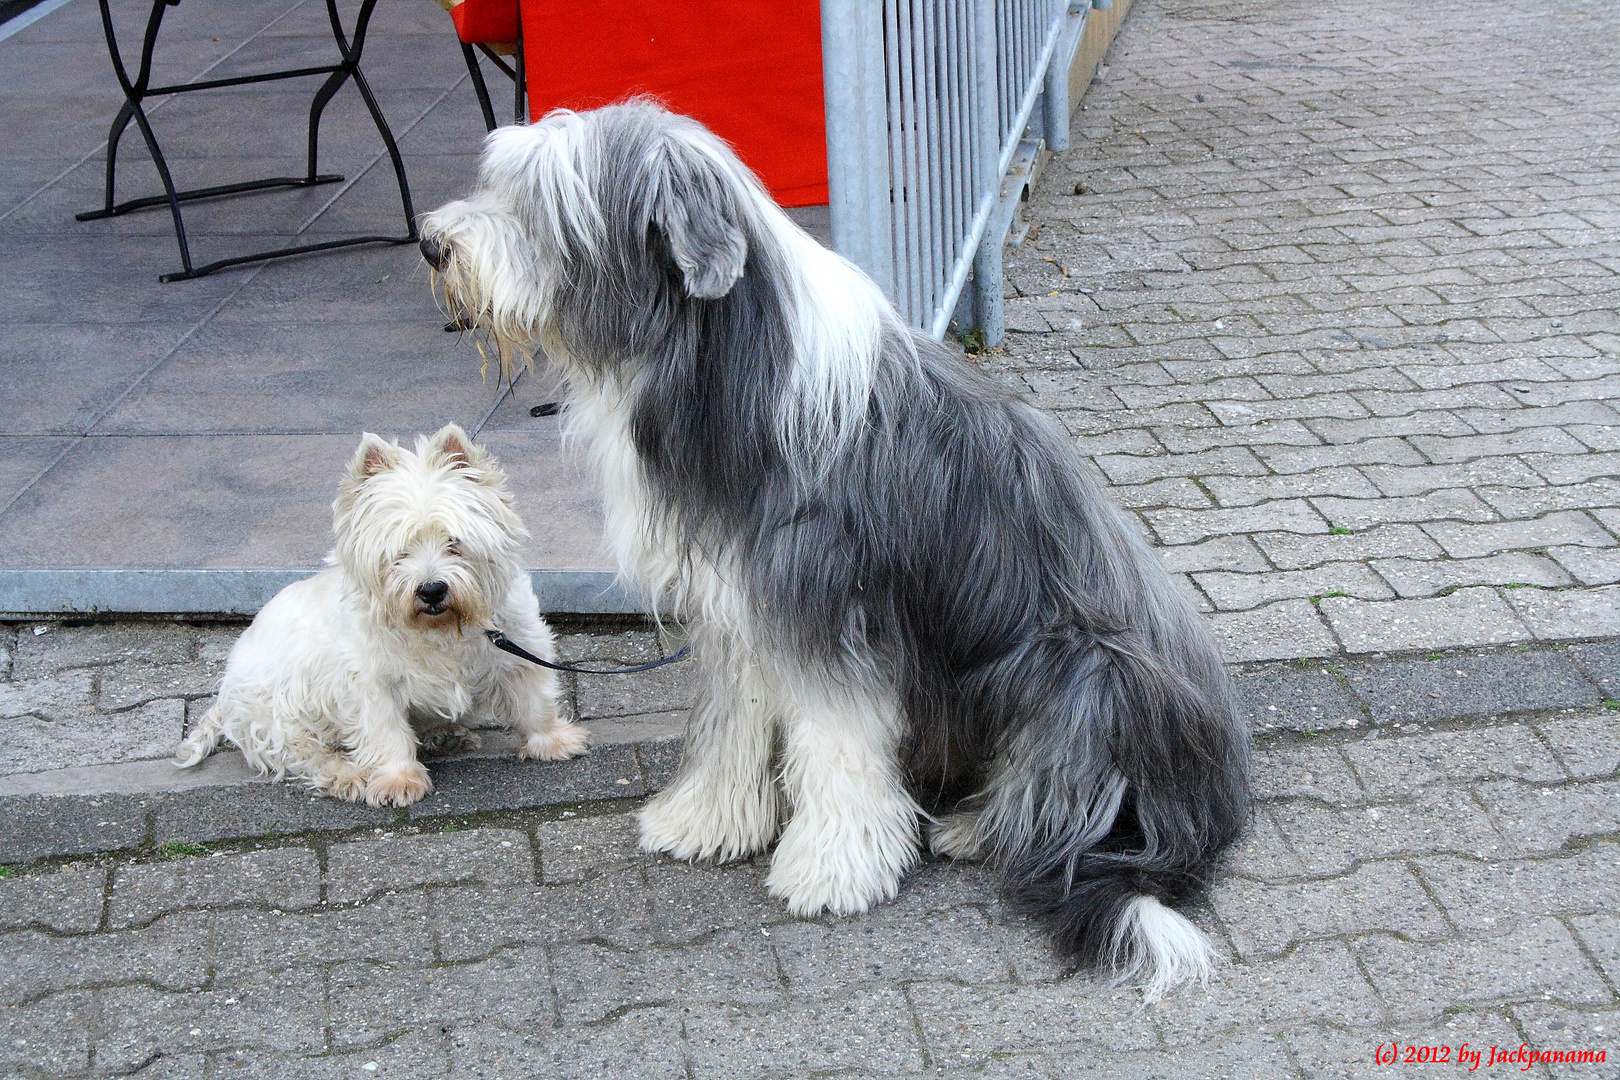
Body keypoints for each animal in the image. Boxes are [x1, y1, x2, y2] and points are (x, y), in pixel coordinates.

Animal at [174, 427, 592, 806]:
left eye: (454, 542)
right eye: (398, 552)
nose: (432, 590)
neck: (441, 629)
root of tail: (225, 693)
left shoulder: (519, 644)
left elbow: (533, 700)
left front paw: (553, 741)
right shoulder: (370, 682)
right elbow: (384, 731)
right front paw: (398, 781)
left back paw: (446, 734)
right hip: (277, 715)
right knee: (306, 752)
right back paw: (348, 775)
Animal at [421, 99, 1250, 997]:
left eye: (541, 204)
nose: (431, 244)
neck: (729, 375)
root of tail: (1203, 802)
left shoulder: (823, 607)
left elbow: (838, 744)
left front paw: (832, 867)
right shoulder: (737, 603)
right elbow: (733, 721)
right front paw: (706, 820)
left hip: (1084, 667)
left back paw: (979, 829)